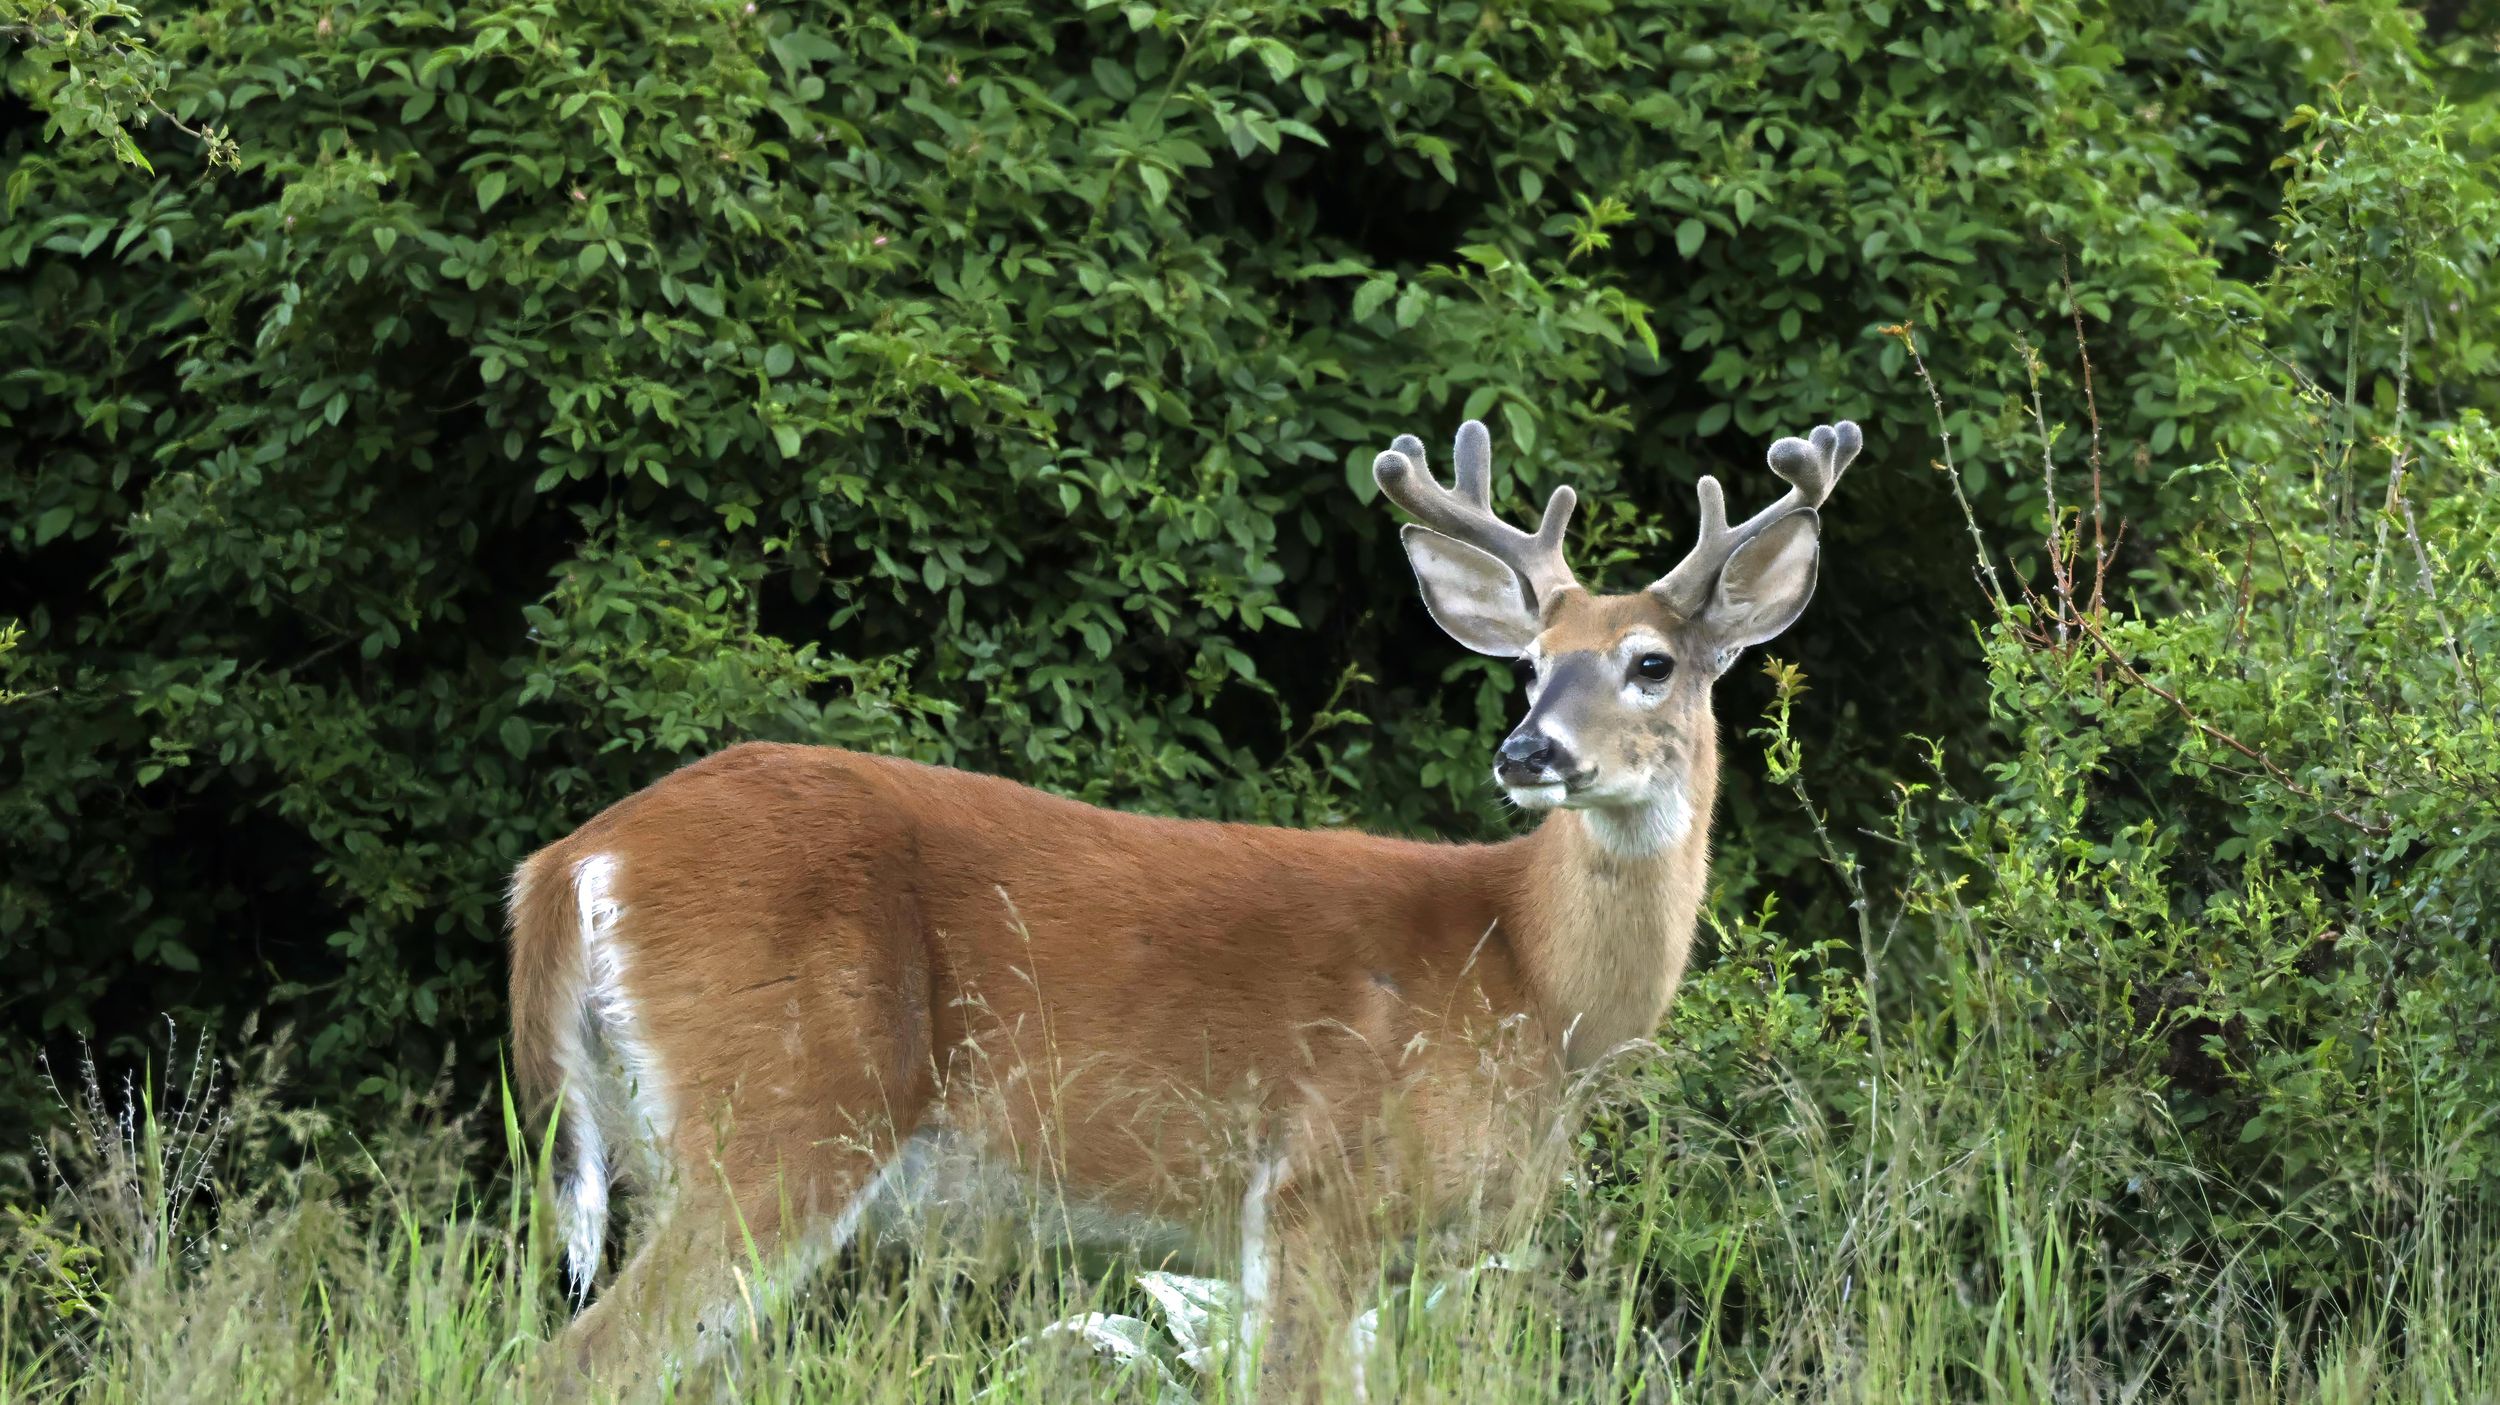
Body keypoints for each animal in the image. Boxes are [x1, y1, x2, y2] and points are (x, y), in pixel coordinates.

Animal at [507, 412, 1860, 1390]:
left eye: (1651, 664)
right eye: (1529, 665)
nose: (1528, 750)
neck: (1527, 977)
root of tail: (570, 861)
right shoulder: (1315, 1193)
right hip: (782, 1114)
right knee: (574, 1366)